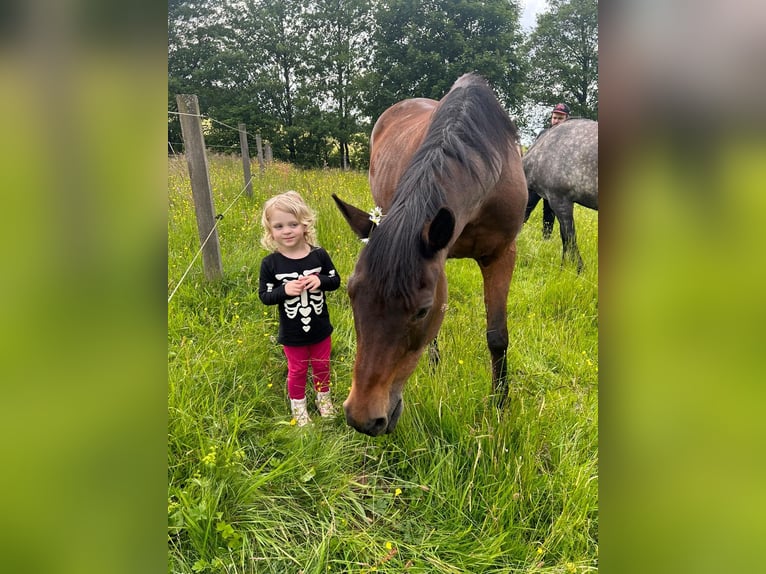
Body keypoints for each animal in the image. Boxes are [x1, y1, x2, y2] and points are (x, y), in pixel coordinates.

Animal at [332, 74, 532, 438]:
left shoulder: (501, 254)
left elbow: (497, 336)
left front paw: (500, 403)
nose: (362, 418)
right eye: (351, 294)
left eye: (421, 311)